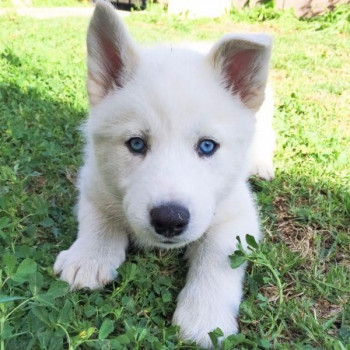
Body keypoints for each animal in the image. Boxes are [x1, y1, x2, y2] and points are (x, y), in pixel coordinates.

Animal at [54, 1, 274, 348]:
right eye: (136, 144)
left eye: (207, 146)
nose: (170, 220)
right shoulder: (94, 180)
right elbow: (99, 218)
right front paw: (88, 257)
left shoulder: (237, 211)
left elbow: (218, 255)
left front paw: (204, 316)